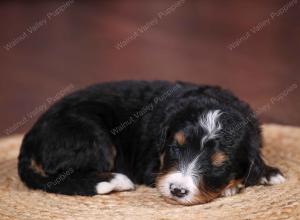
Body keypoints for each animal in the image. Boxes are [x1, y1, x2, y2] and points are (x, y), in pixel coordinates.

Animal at [17, 80, 284, 205]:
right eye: (175, 148)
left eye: (219, 165)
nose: (177, 190)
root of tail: (31, 138)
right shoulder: (150, 166)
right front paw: (232, 187)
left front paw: (268, 172)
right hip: (93, 138)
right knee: (65, 174)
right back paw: (114, 180)